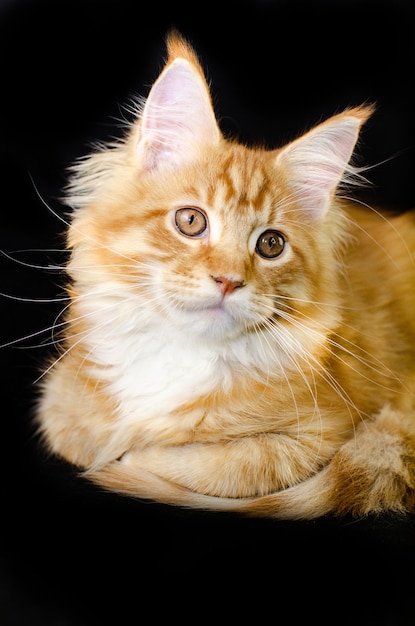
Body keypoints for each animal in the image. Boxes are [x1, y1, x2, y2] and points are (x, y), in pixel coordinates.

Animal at [35, 29, 415, 516]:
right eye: (191, 221)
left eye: (271, 245)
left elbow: (216, 465)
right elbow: (75, 432)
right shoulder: (61, 396)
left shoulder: (319, 434)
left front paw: (134, 455)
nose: (229, 281)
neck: (181, 352)